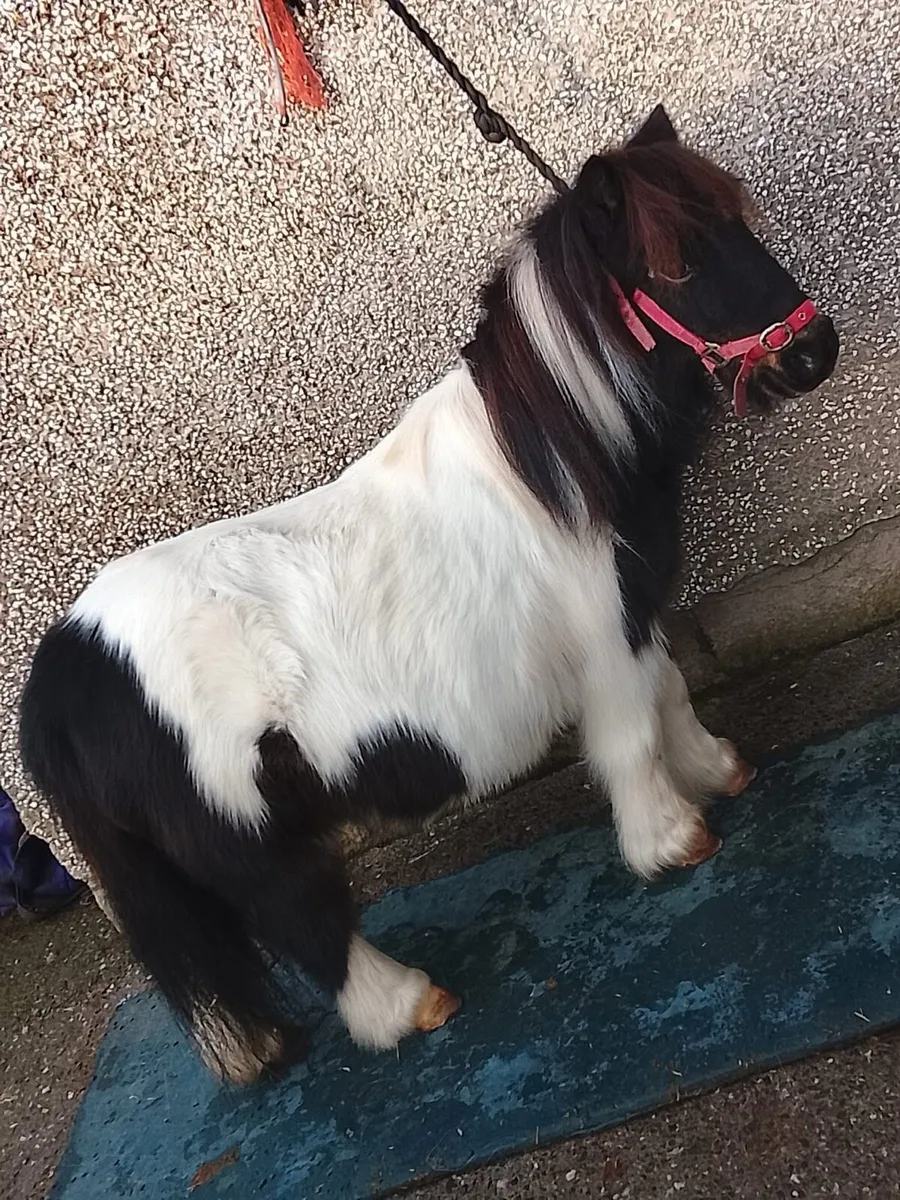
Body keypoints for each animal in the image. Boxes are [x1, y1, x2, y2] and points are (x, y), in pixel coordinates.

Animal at [19, 105, 839, 1085]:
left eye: (739, 223)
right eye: (675, 263)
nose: (816, 351)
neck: (558, 461)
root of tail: (63, 675)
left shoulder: (634, 620)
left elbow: (670, 694)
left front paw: (718, 770)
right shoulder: (604, 641)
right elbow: (632, 737)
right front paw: (674, 840)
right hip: (245, 843)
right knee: (305, 923)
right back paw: (411, 1004)